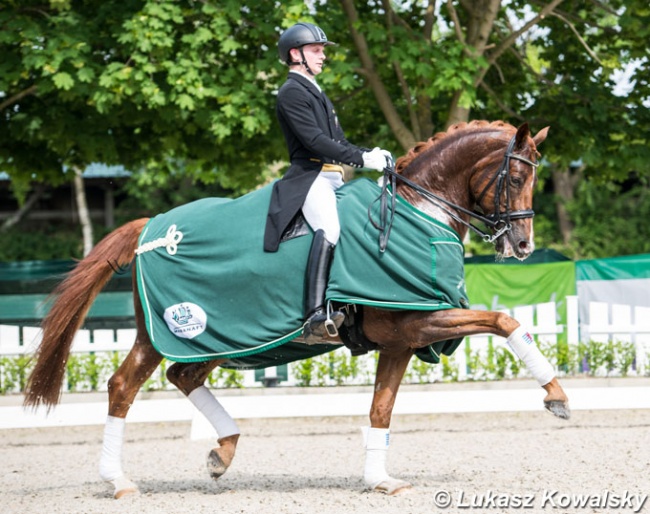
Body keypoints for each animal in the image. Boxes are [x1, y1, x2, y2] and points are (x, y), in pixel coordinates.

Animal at [22, 119, 568, 496]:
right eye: (515, 176)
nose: (522, 245)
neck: (419, 211)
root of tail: (151, 228)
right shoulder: (421, 321)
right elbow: (504, 320)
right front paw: (556, 395)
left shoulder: (401, 338)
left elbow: (381, 408)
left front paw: (380, 480)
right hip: (170, 331)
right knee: (123, 386)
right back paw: (119, 481)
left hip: (220, 337)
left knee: (183, 376)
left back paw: (222, 453)